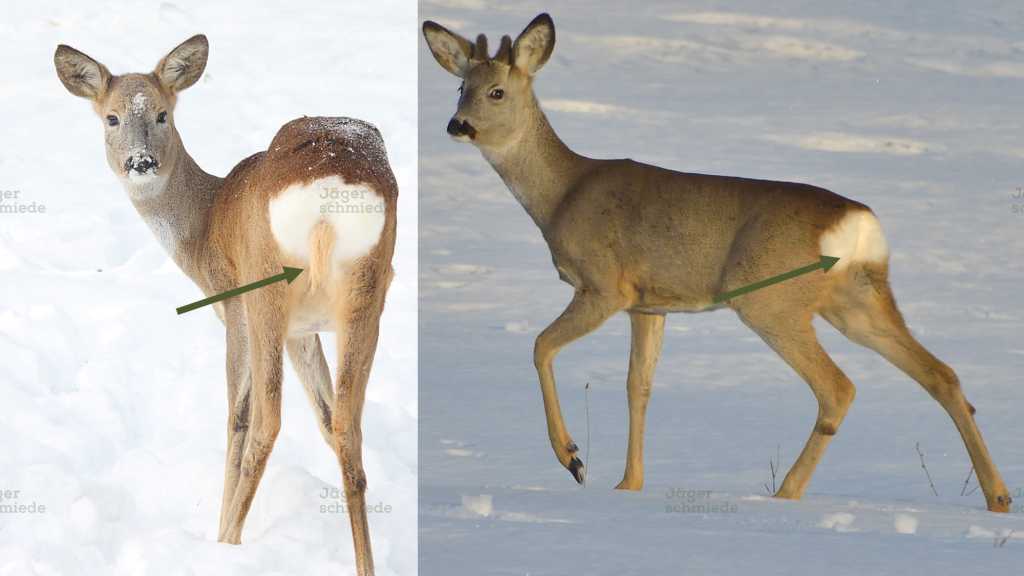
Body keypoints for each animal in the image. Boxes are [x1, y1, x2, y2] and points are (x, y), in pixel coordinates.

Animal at [55, 34, 395, 569]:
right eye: (111, 118)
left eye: (162, 114)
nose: (141, 162)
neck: (206, 222)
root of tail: (329, 201)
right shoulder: (303, 330)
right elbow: (323, 419)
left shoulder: (233, 306)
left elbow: (238, 415)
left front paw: (218, 535)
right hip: (366, 295)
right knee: (345, 427)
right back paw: (365, 565)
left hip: (264, 292)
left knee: (263, 422)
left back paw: (229, 541)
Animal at [419, 13, 1011, 508]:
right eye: (460, 87)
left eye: (496, 91)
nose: (457, 125)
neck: (562, 194)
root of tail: (859, 221)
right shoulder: (650, 304)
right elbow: (638, 386)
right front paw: (629, 484)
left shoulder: (605, 285)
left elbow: (540, 345)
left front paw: (573, 459)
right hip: (857, 299)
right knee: (941, 375)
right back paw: (998, 498)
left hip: (770, 299)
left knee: (839, 387)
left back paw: (785, 495)